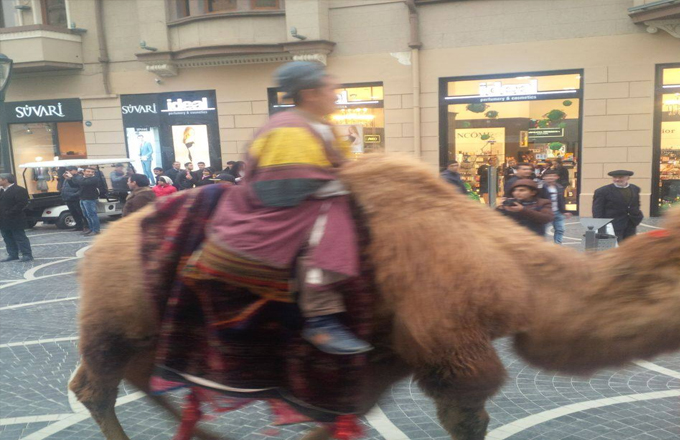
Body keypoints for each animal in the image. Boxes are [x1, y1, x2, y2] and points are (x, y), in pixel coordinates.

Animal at [67, 156, 680, 440]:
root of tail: (92, 251)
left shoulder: (388, 354)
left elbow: (342, 416)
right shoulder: (452, 349)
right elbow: (468, 418)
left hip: (147, 329)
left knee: (129, 378)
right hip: (112, 318)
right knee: (95, 386)